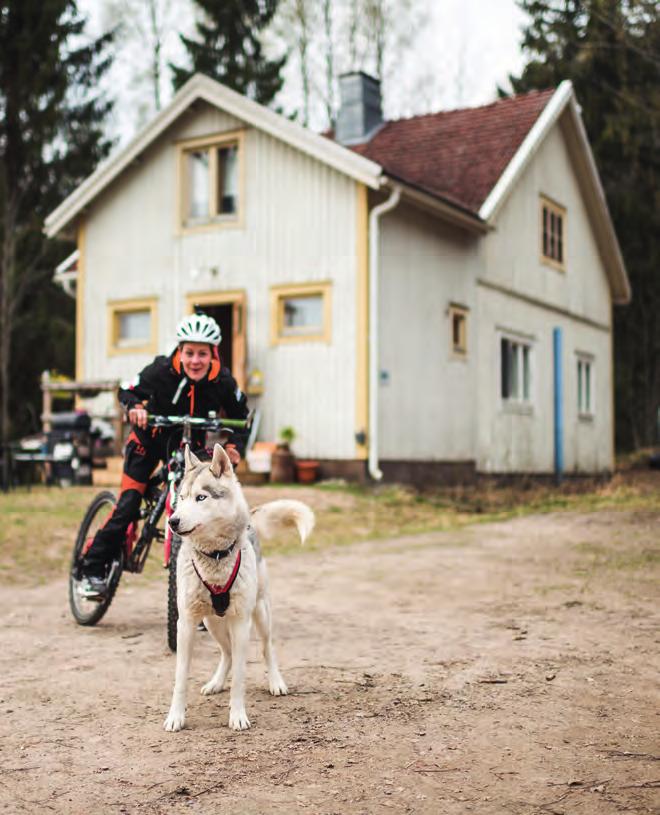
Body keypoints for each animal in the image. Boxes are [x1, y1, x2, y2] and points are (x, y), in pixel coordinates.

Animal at [162, 444, 312, 736]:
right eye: (181, 498)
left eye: (200, 498)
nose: (172, 521)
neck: (216, 556)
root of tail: (250, 520)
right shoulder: (186, 624)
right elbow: (179, 678)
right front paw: (176, 717)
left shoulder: (241, 623)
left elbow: (241, 678)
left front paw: (238, 716)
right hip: (212, 623)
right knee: (227, 653)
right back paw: (216, 683)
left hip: (260, 614)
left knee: (266, 649)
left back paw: (276, 682)